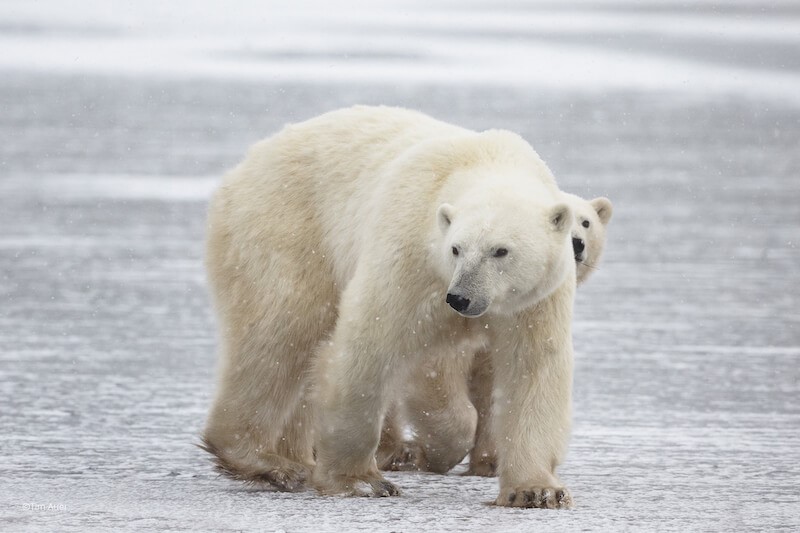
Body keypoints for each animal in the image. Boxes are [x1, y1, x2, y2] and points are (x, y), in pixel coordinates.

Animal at [201, 105, 577, 509]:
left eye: (501, 250)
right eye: (456, 248)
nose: (460, 297)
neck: (484, 160)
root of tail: (244, 165)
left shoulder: (537, 300)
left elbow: (532, 370)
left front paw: (536, 490)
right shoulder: (411, 256)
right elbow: (370, 344)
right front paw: (363, 480)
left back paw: (294, 460)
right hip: (285, 230)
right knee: (280, 333)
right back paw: (264, 461)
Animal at [378, 192, 613, 476]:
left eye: (586, 221)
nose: (577, 243)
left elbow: (494, 384)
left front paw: (489, 461)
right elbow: (438, 369)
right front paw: (435, 451)